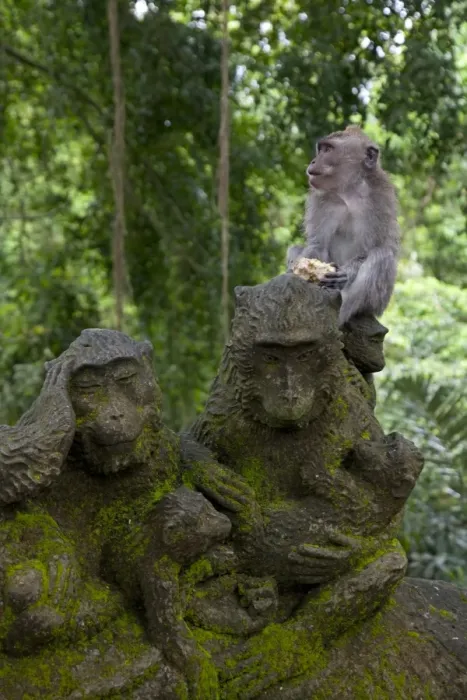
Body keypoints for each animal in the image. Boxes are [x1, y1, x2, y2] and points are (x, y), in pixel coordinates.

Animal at [287, 125, 400, 326]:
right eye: (321, 149)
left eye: (328, 150)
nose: (313, 161)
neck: (348, 191)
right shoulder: (321, 200)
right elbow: (317, 246)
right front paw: (303, 271)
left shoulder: (379, 198)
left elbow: (368, 250)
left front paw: (344, 275)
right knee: (296, 248)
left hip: (379, 303)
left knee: (381, 256)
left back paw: (341, 312)